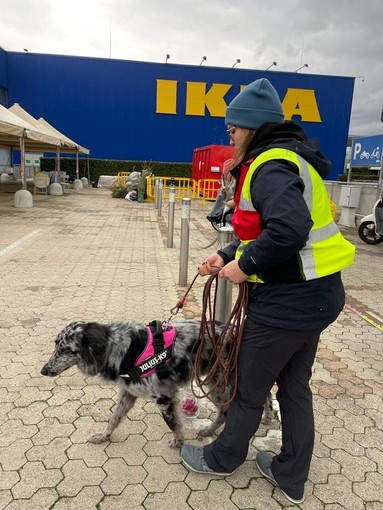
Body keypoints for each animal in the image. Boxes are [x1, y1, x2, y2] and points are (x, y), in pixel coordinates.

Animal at [41, 318, 272, 446]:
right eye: (55, 344)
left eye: (65, 349)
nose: (44, 370)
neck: (122, 348)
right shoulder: (128, 394)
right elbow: (113, 419)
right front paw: (104, 436)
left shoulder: (164, 398)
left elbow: (173, 424)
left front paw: (179, 443)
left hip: (220, 384)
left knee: (229, 410)